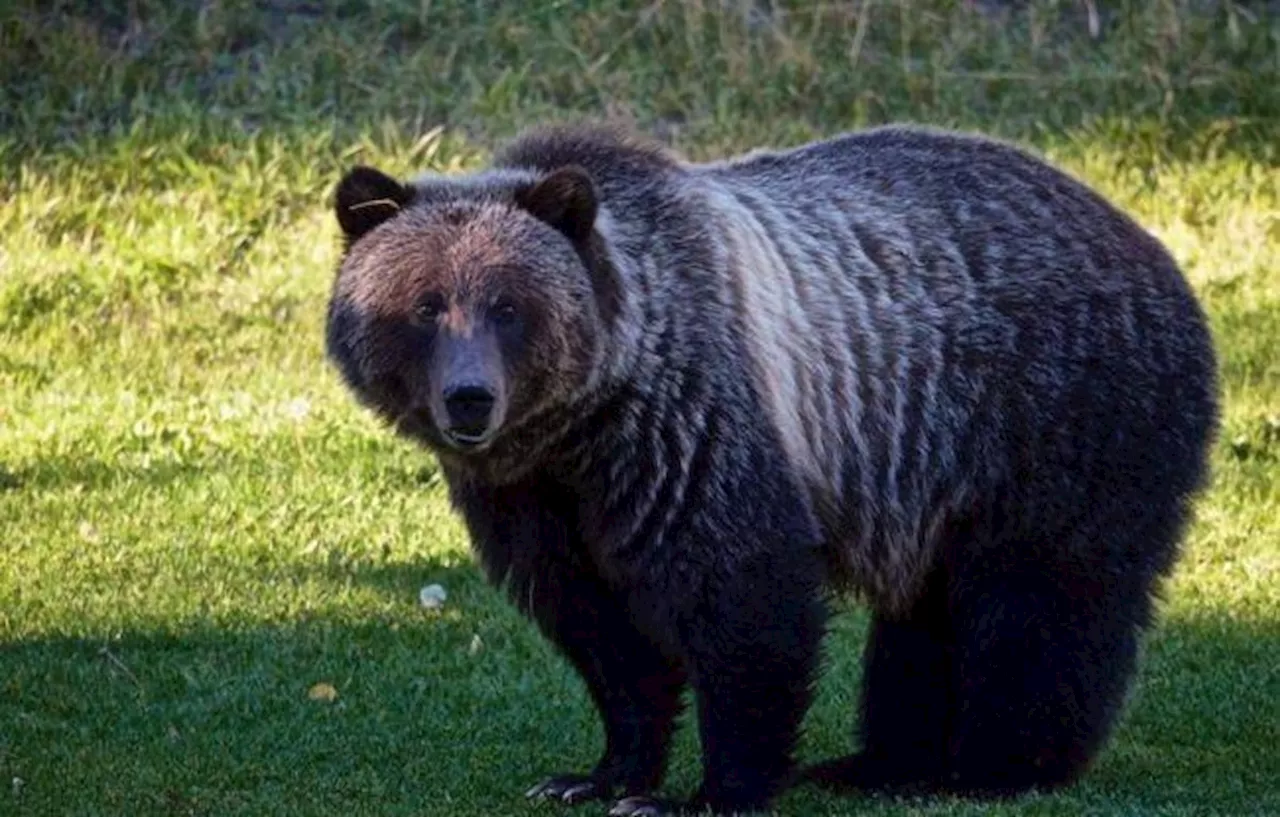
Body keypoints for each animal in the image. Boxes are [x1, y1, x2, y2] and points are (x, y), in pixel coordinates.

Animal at [322, 122, 1218, 817]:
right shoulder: (534, 497)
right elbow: (601, 630)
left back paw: (994, 766)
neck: (584, 425)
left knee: (1039, 600)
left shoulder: (690, 428)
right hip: (933, 477)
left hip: (1056, 418)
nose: (470, 400)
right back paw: (883, 762)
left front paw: (708, 790)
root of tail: (1149, 242)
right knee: (924, 618)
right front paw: (594, 773)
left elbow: (742, 593)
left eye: (508, 306)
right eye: (427, 303)